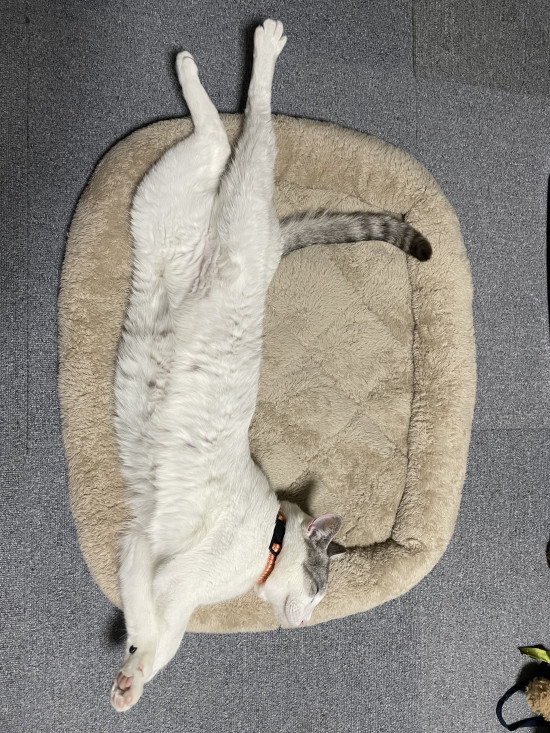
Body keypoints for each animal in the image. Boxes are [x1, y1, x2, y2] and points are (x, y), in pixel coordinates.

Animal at [110, 19, 432, 712]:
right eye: (318, 586)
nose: (307, 619)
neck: (268, 540)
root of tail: (276, 244)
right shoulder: (175, 575)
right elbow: (164, 630)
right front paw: (134, 666)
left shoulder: (140, 550)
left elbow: (153, 625)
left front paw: (129, 669)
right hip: (239, 206)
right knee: (250, 134)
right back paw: (265, 46)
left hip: (161, 209)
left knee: (212, 140)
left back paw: (188, 63)